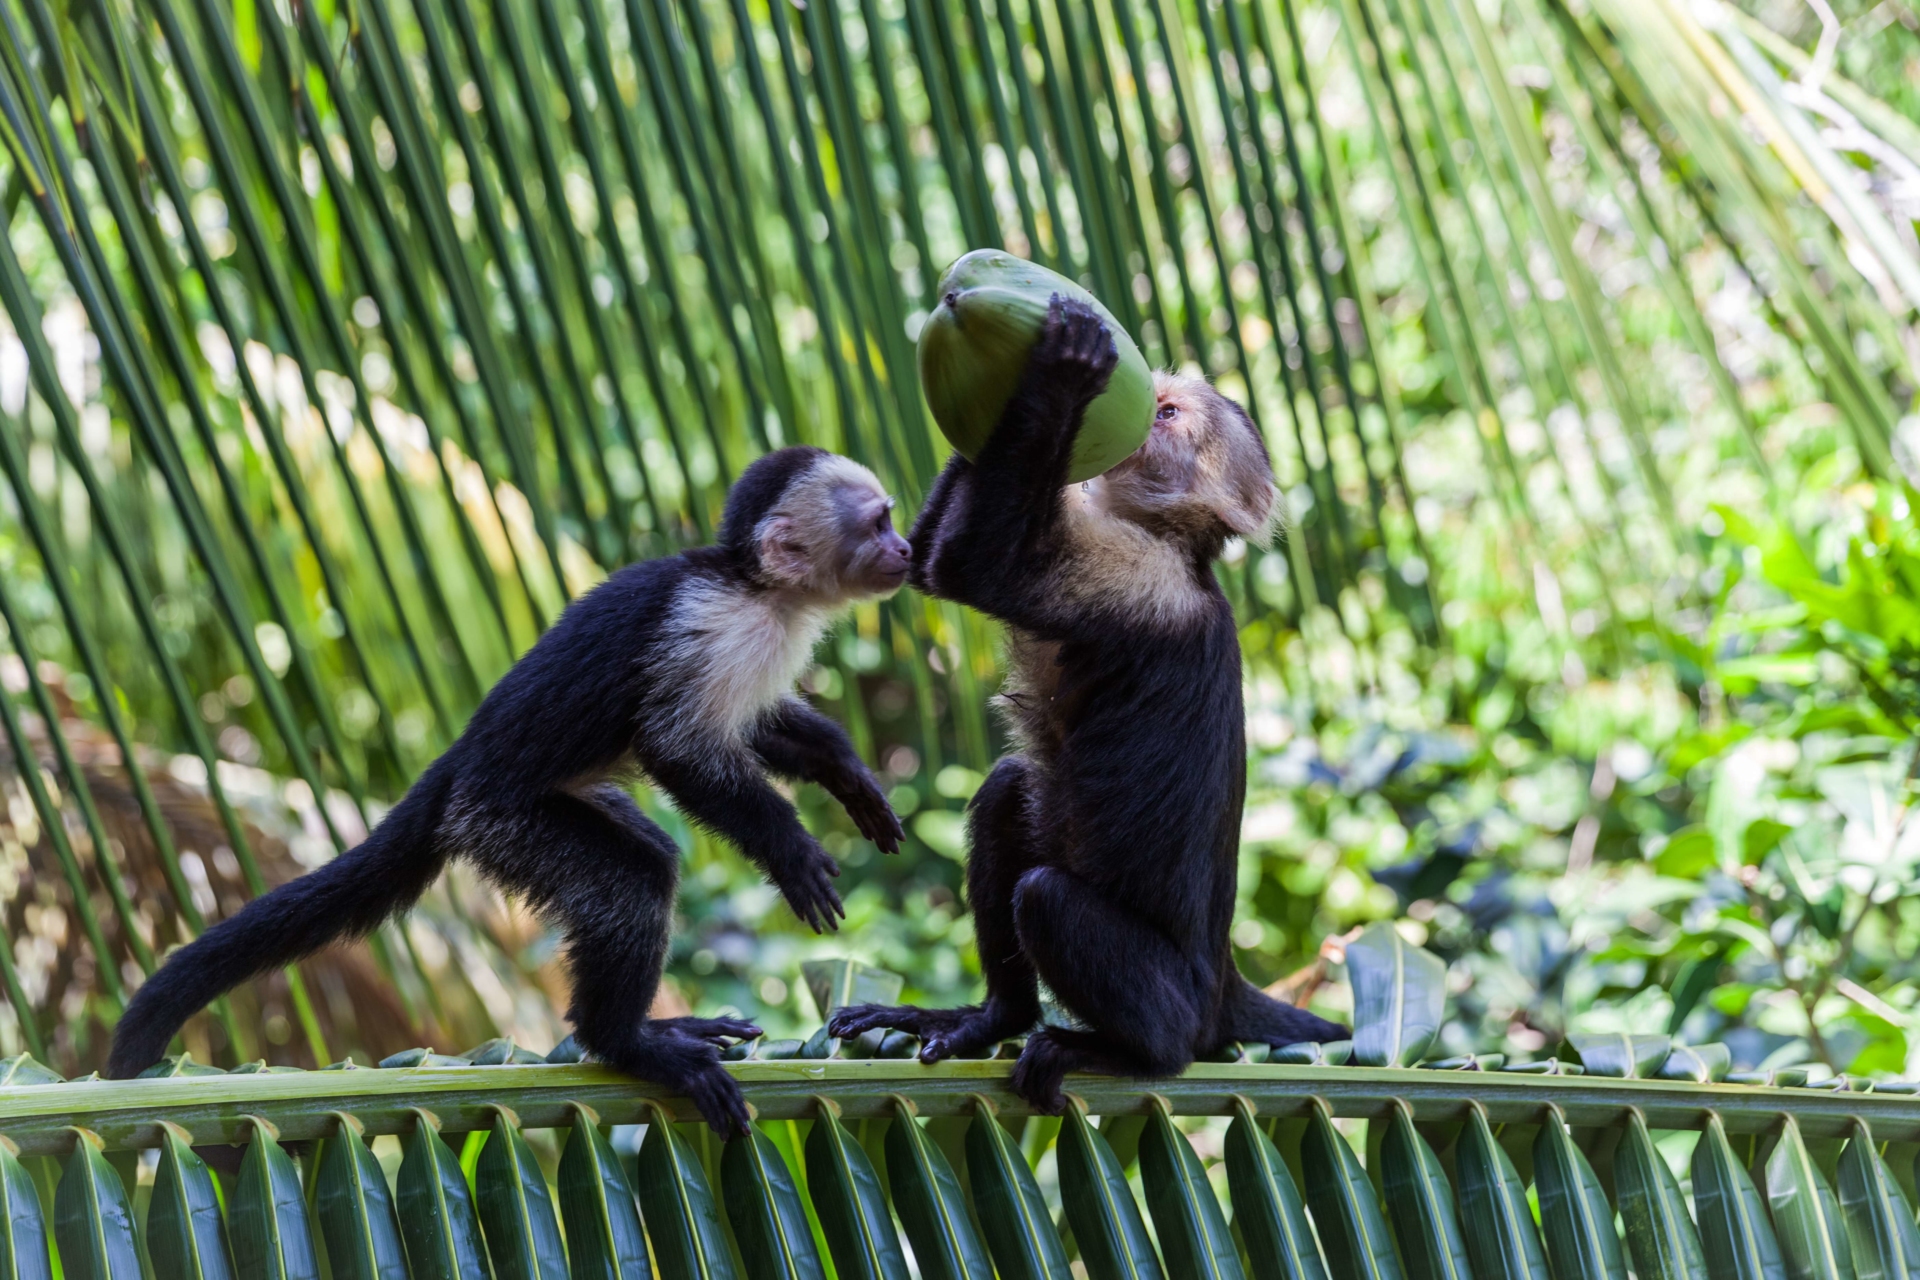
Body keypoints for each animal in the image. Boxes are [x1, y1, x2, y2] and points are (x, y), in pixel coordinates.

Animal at [108, 449, 910, 1128]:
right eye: (879, 523)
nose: (907, 549)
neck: (756, 586)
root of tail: (461, 760)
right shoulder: (717, 625)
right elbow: (676, 747)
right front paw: (789, 850)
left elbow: (757, 725)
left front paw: (848, 775)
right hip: (497, 820)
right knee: (630, 880)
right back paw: (625, 1042)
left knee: (643, 851)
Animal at [829, 301, 1351, 1113]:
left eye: (1166, 415)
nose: (1141, 411)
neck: (1170, 541)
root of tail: (1224, 987)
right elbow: (931, 561)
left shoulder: (1144, 581)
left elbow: (973, 568)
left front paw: (1066, 365)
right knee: (1009, 791)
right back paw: (994, 1018)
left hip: (1178, 998)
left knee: (1049, 901)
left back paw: (1125, 1051)